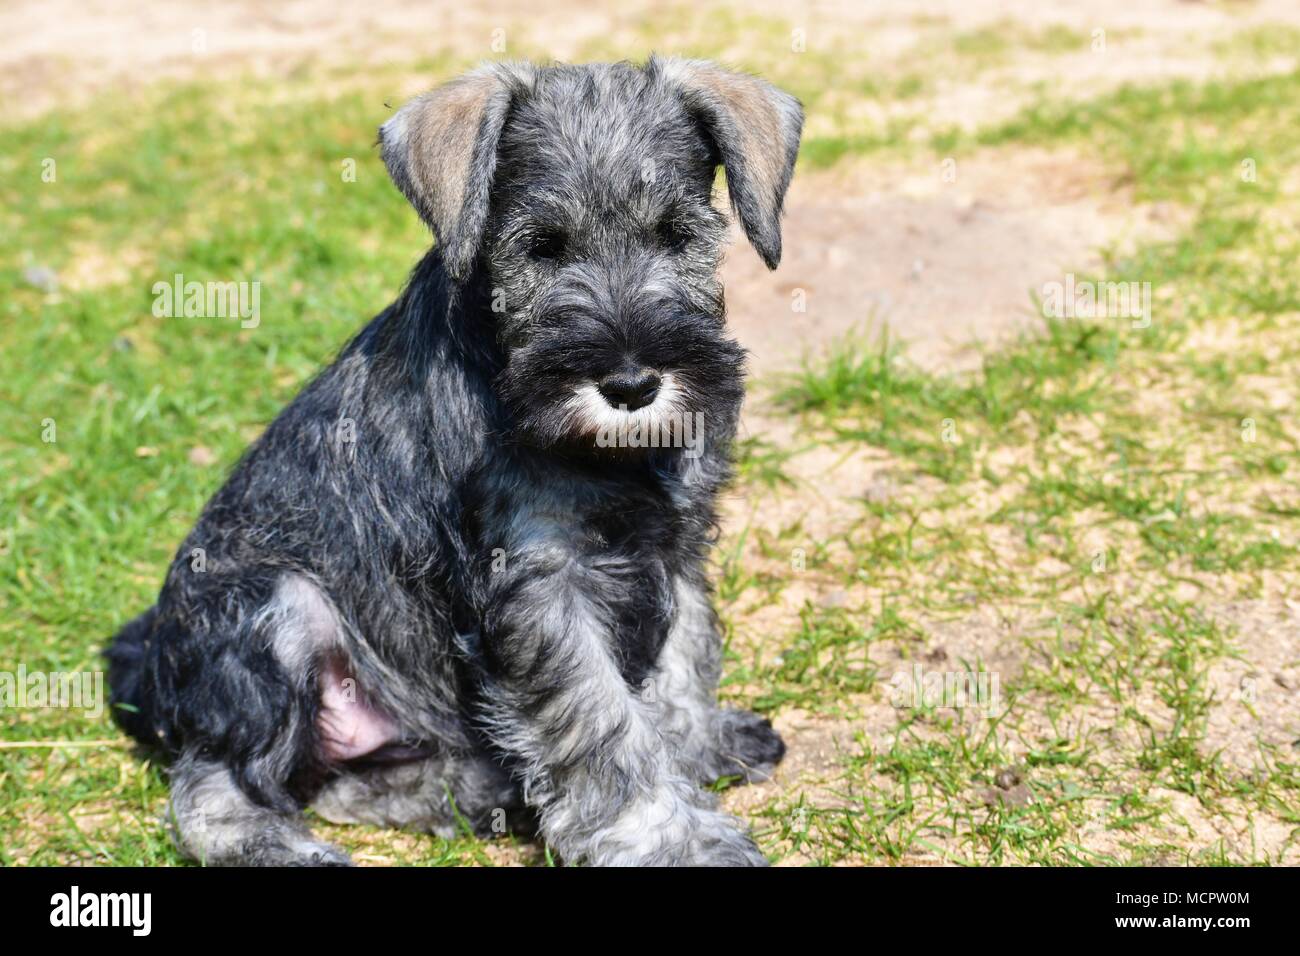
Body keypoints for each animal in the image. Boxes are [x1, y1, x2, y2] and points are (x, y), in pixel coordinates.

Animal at [109, 54, 800, 868]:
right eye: (541, 247)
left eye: (677, 235)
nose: (631, 384)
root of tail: (148, 664)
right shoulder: (541, 582)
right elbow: (604, 721)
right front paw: (671, 840)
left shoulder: (677, 546)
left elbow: (685, 662)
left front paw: (698, 745)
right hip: (281, 607)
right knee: (217, 787)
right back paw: (279, 845)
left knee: (344, 782)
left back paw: (484, 791)